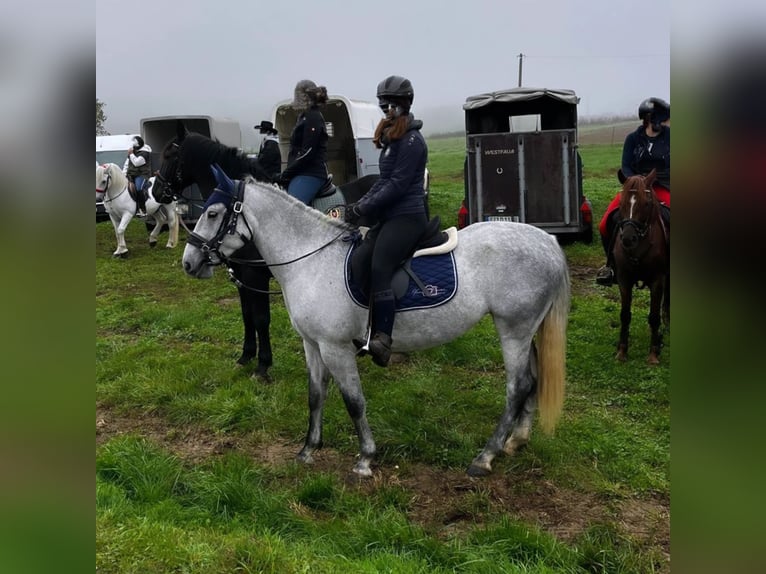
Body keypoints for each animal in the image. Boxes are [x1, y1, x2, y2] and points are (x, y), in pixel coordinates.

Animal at [158, 120, 380, 382]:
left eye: (169, 155)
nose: (157, 191)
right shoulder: (241, 276)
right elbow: (247, 315)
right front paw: (246, 356)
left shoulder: (255, 276)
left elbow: (261, 319)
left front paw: (263, 365)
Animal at [616, 169, 668, 364]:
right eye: (621, 202)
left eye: (646, 204)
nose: (627, 239)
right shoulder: (623, 279)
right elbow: (625, 315)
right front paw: (622, 351)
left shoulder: (658, 280)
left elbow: (654, 317)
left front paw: (653, 353)